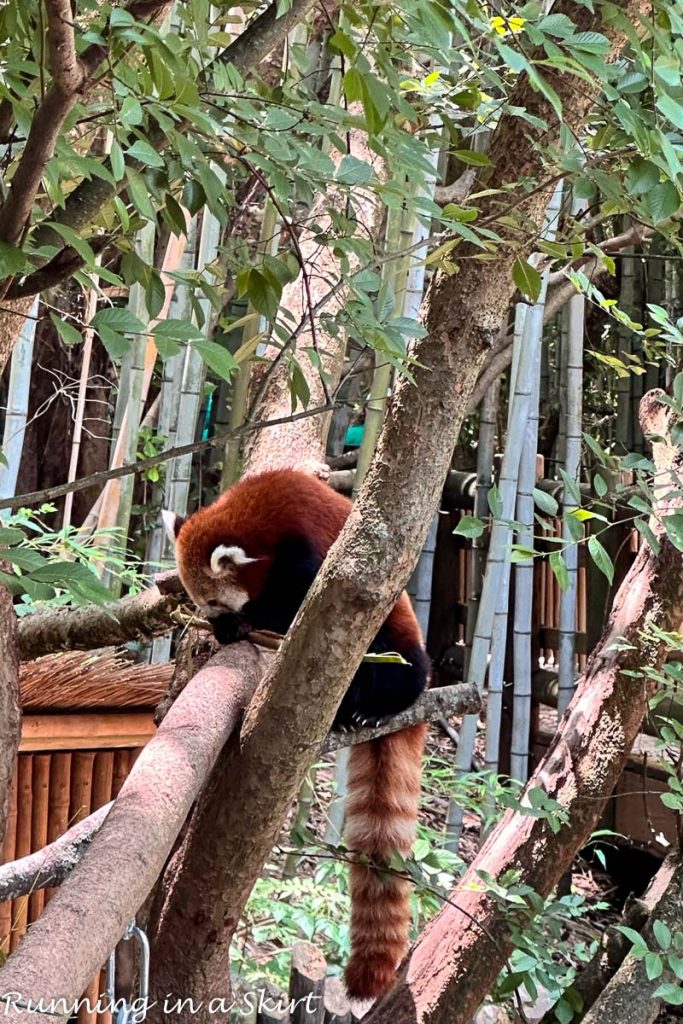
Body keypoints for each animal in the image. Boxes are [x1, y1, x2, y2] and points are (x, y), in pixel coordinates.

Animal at [162, 468, 430, 999]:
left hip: (397, 639)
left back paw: (372, 709)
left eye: (215, 599)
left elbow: (293, 606)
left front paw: (244, 625)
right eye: (201, 602)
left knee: (398, 668)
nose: (214, 620)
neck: (262, 511)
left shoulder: (306, 553)